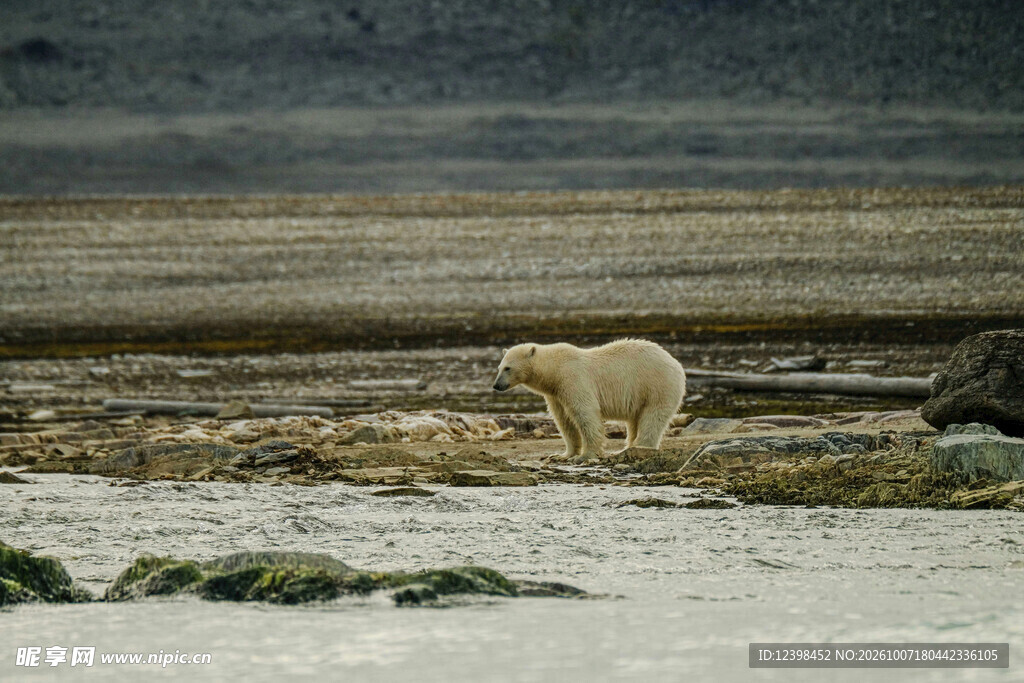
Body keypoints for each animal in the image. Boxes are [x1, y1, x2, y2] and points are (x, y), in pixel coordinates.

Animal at [492, 339, 686, 459]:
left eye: (508, 368)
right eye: (499, 367)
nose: (496, 385)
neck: (554, 369)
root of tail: (675, 362)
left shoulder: (573, 379)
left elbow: (585, 413)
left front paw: (586, 456)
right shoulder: (556, 393)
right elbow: (564, 421)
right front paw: (563, 455)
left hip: (657, 385)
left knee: (653, 416)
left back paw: (639, 447)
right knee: (634, 421)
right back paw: (626, 448)